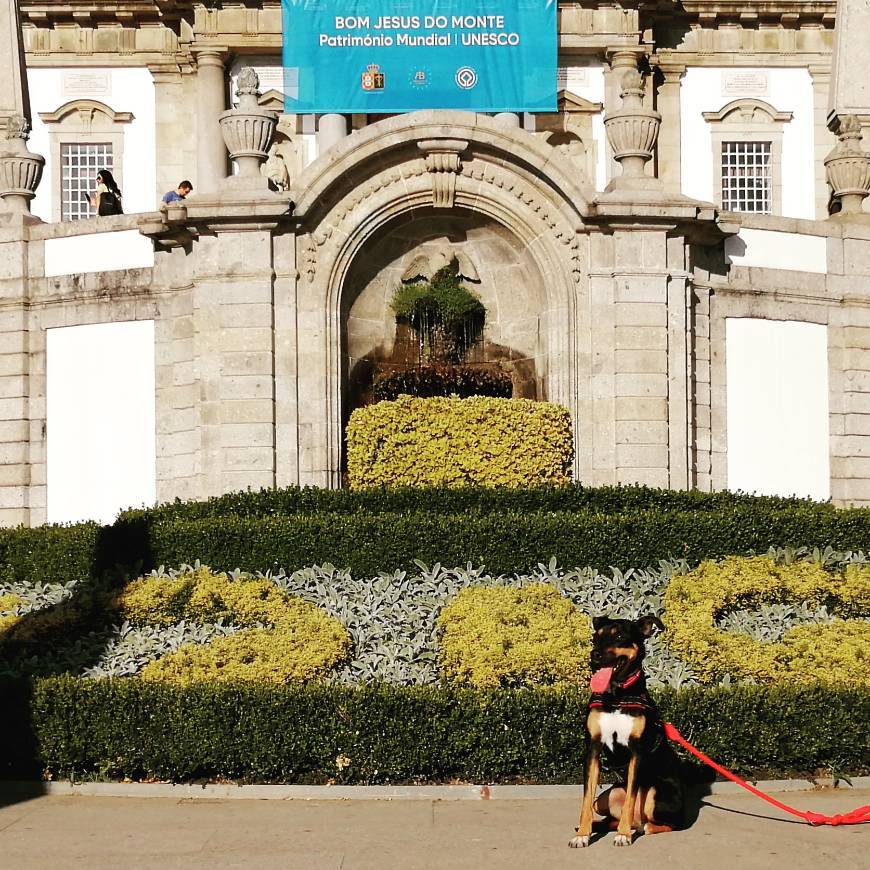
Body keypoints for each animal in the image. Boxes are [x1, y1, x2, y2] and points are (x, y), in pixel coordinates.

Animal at [572, 616, 688, 848]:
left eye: (619, 636)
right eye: (596, 636)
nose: (594, 656)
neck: (617, 697)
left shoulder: (637, 752)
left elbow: (631, 798)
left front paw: (623, 835)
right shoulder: (593, 749)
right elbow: (587, 798)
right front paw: (583, 834)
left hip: (655, 795)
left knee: (669, 823)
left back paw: (643, 827)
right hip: (606, 798)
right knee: (606, 813)